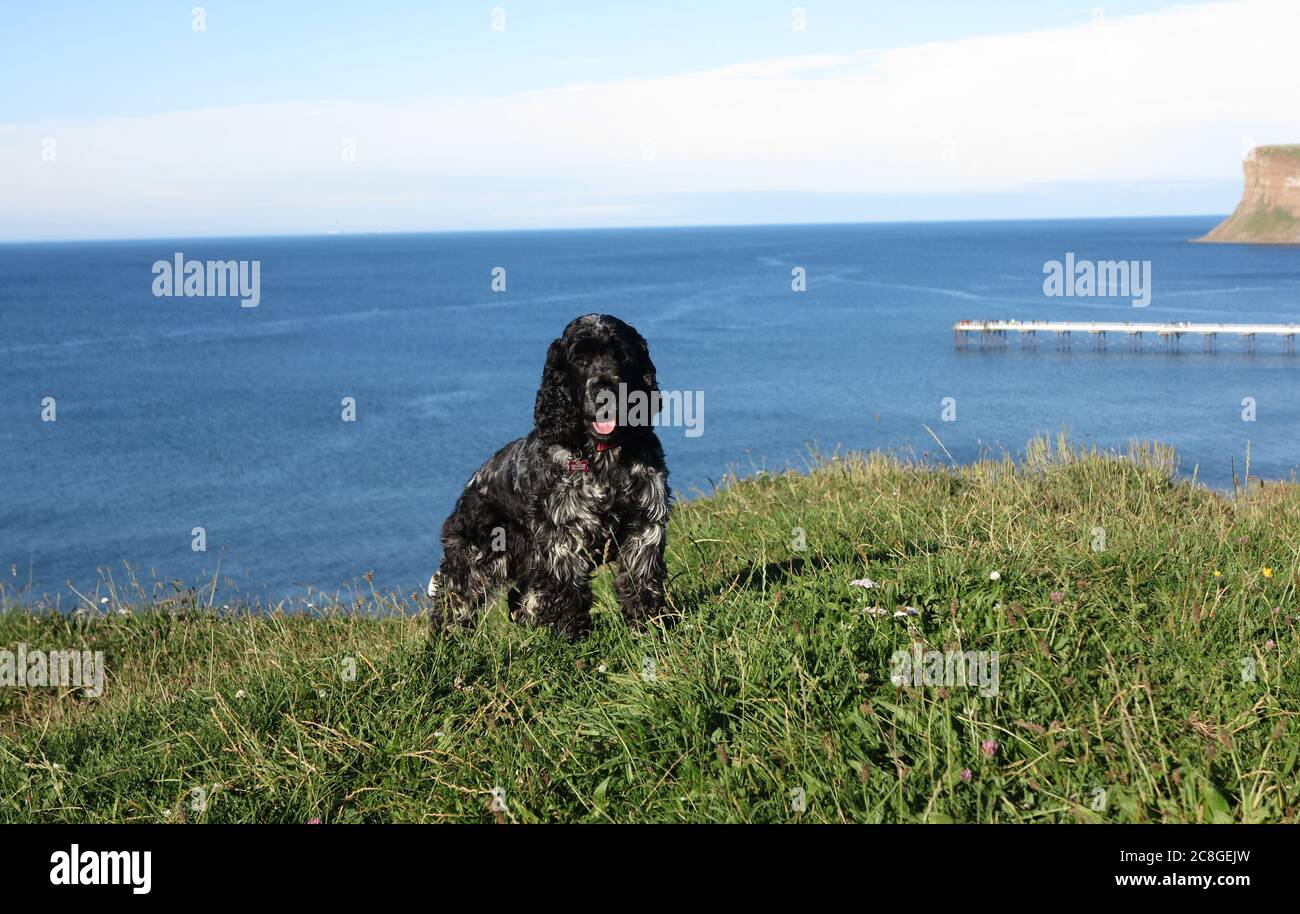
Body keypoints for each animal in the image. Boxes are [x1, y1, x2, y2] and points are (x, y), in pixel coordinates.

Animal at [428, 318, 670, 639]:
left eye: (622, 355)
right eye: (580, 359)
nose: (604, 392)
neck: (603, 457)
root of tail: (469, 487)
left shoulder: (644, 525)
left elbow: (641, 580)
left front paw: (648, 625)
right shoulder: (562, 535)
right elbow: (568, 590)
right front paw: (572, 635)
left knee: (521, 597)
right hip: (475, 558)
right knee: (454, 600)